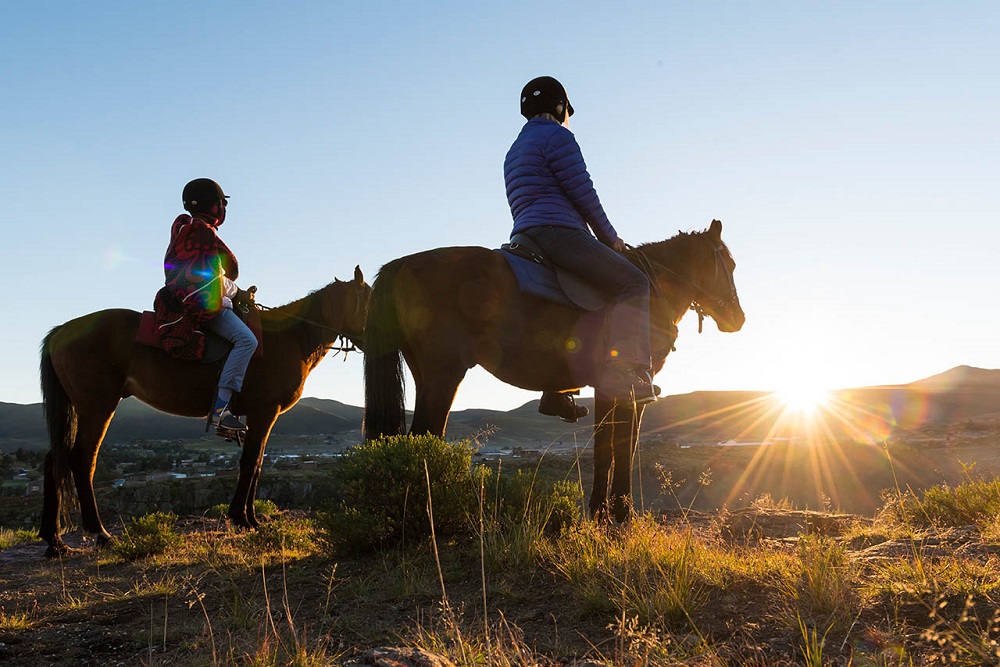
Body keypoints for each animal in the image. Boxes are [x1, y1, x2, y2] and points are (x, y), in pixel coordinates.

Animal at [38, 266, 372, 560]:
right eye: (371, 300)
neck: (289, 339)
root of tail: (61, 331)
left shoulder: (264, 416)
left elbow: (257, 463)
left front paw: (250, 517)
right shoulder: (264, 412)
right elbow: (250, 463)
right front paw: (242, 519)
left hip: (80, 408)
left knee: (55, 459)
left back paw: (55, 542)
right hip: (97, 407)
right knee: (82, 460)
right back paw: (99, 533)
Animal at [362, 222, 744, 524]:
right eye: (729, 264)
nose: (737, 318)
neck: (650, 292)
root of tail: (400, 264)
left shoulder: (605, 390)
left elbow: (604, 450)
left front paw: (599, 512)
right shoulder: (630, 389)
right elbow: (622, 448)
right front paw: (623, 514)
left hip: (428, 375)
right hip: (444, 374)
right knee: (424, 437)